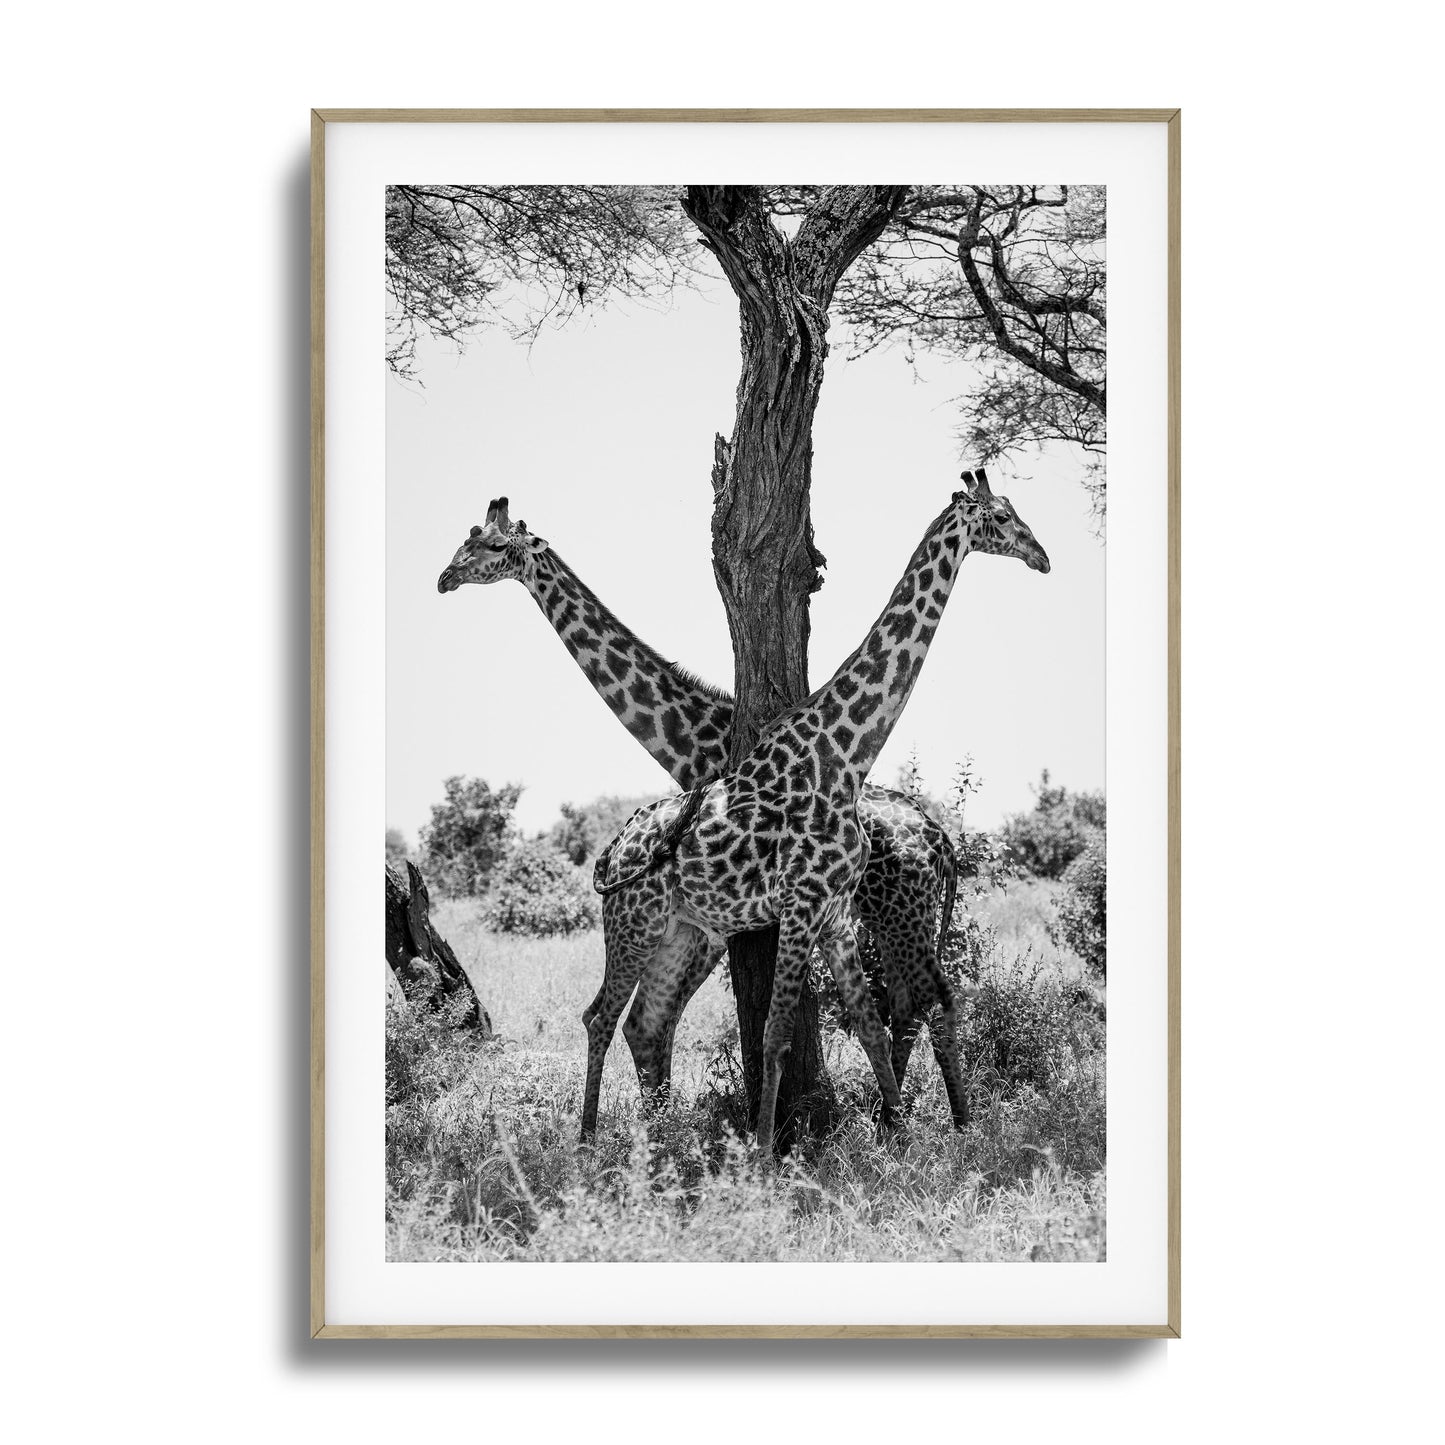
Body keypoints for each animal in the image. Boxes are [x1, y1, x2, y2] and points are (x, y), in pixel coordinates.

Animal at [437, 498, 962, 1110]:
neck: (693, 736)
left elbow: (663, 1021)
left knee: (918, 1002)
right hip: (894, 915)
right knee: (905, 1004)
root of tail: (940, 838)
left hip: (898, 910)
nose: (445, 578)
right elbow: (656, 1021)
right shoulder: (708, 916)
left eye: (493, 546)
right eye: (465, 539)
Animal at [588, 470, 1049, 1150]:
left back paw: (653, 1140)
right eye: (1000, 516)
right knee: (601, 1015)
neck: (843, 757)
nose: (1042, 557)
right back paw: (587, 1143)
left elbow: (868, 1026)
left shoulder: (830, 916)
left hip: (679, 929)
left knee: (642, 1020)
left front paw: (898, 1139)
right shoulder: (801, 906)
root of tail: (612, 850)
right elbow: (777, 1034)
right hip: (634, 922)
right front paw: (762, 1151)